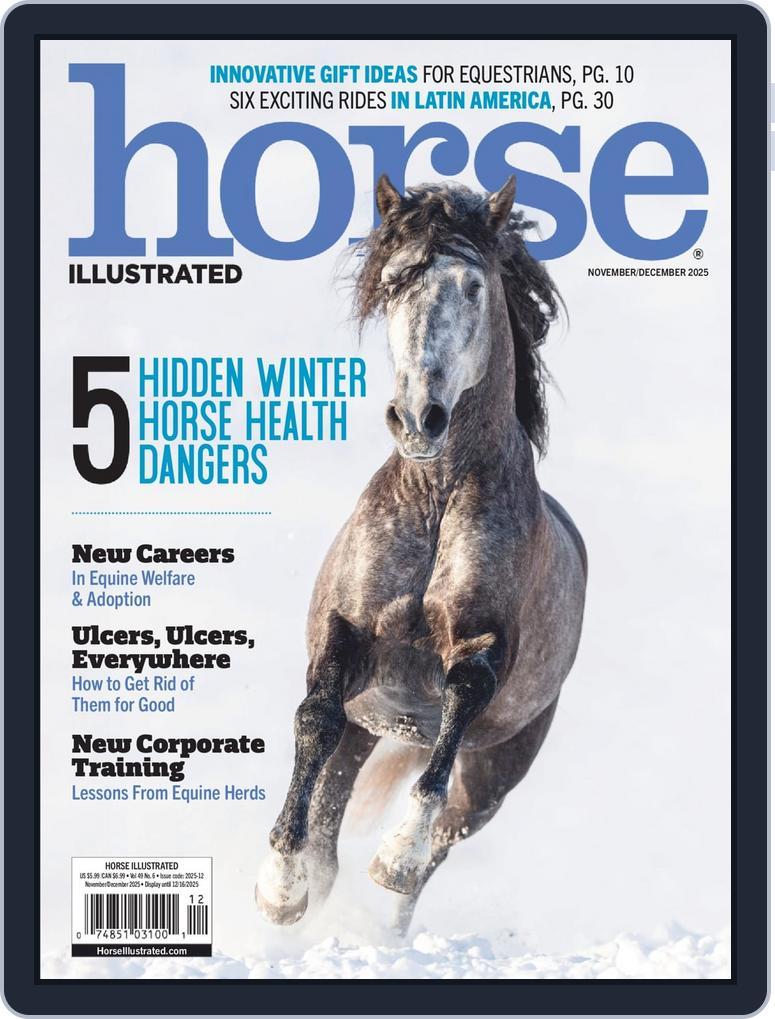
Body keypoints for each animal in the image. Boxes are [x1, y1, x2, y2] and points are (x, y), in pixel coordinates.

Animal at [256, 174, 587, 935]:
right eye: (394, 283)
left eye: (472, 285)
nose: (417, 418)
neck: (436, 501)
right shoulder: (347, 639)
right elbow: (312, 720)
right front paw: (281, 887)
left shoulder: (481, 647)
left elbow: (459, 702)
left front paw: (394, 855)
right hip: (368, 722)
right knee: (333, 808)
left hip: (498, 764)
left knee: (448, 833)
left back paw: (390, 913)